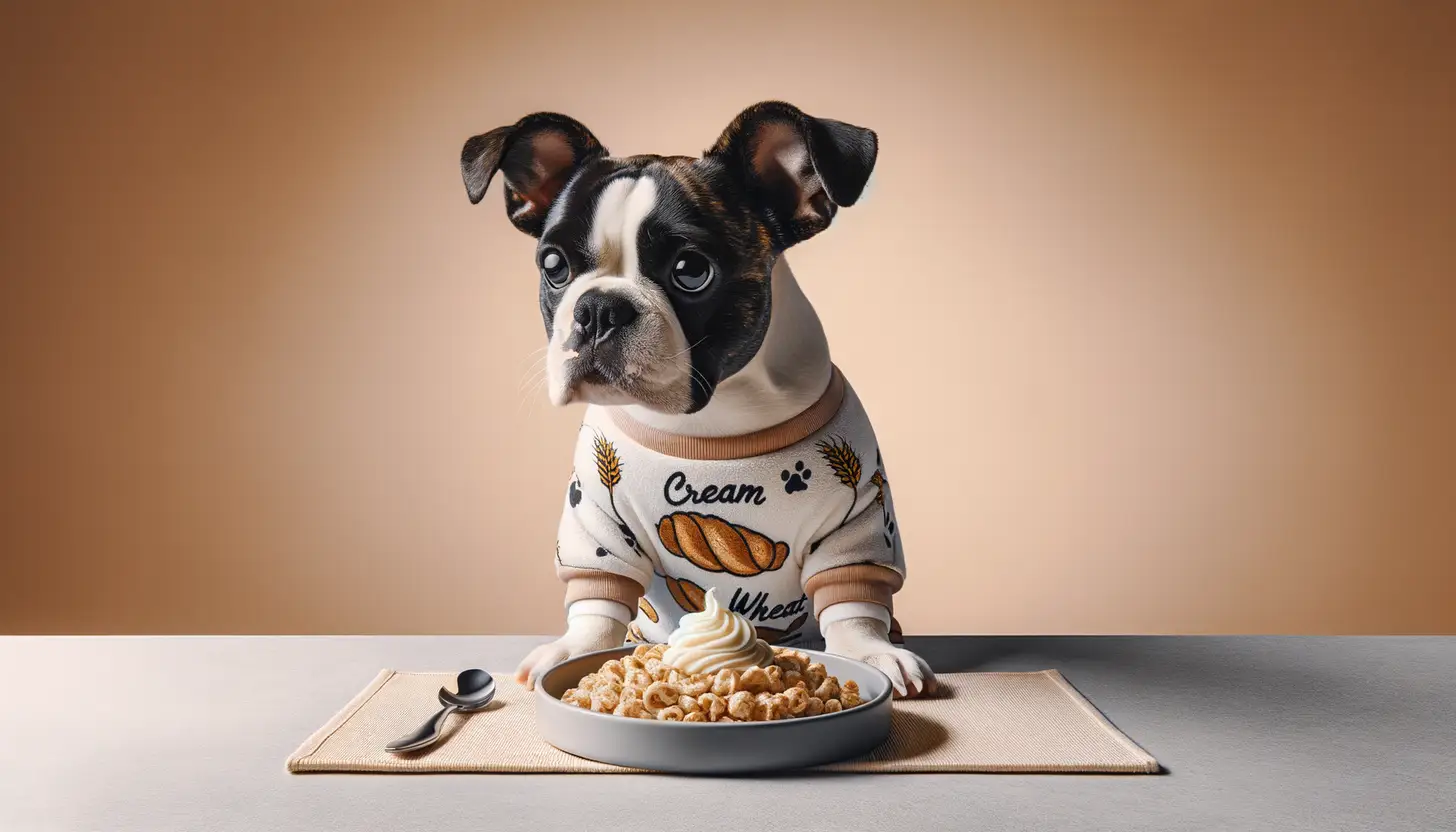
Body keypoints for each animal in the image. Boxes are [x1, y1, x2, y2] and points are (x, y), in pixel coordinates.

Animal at [460, 99, 937, 696]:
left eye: (691, 271)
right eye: (553, 266)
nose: (598, 308)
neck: (712, 424)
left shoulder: (860, 520)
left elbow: (852, 599)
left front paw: (871, 654)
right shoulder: (594, 518)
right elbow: (597, 597)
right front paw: (574, 651)